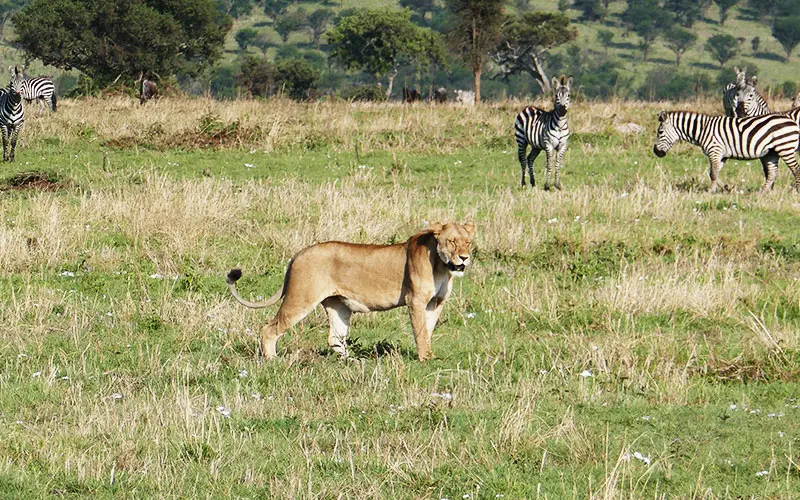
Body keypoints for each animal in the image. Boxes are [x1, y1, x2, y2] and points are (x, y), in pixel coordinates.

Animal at [652, 110, 800, 192]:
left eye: (660, 132)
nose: (656, 152)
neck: (703, 130)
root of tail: (791, 120)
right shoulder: (721, 155)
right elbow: (715, 174)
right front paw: (725, 188)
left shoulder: (715, 151)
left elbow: (712, 174)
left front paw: (710, 192)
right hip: (772, 152)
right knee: (772, 174)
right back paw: (761, 193)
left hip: (785, 148)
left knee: (795, 170)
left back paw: (797, 192)